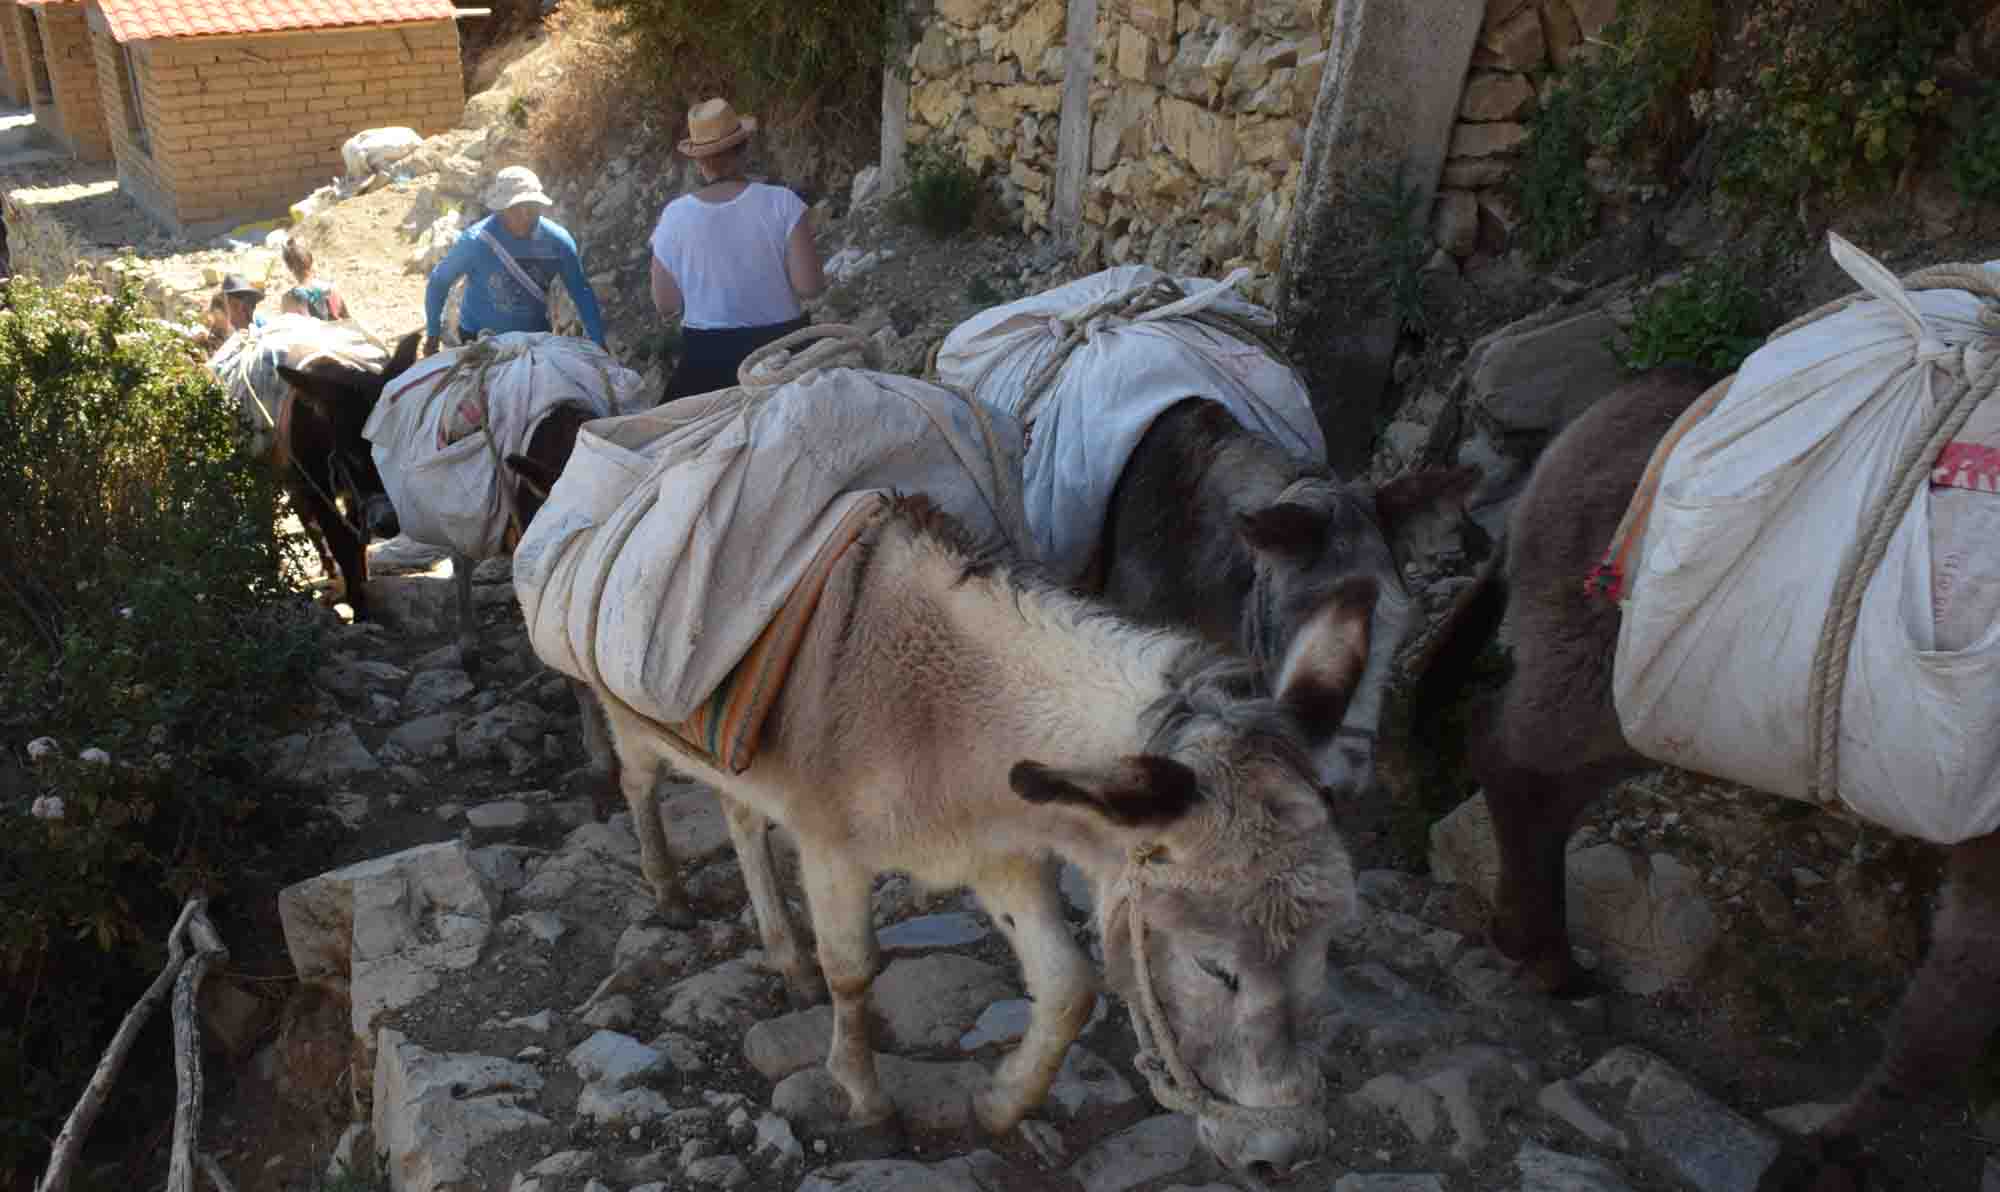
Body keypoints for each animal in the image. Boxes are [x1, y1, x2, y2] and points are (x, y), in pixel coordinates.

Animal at [564, 490, 1362, 1177]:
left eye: (1324, 949)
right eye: (1211, 967)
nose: (1284, 1156)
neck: (948, 713)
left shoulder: (1001, 854)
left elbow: (1068, 987)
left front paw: (1002, 1105)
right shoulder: (832, 847)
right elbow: (852, 969)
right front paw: (867, 1101)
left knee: (741, 818)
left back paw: (787, 959)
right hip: (632, 715)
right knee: (640, 785)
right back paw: (669, 893)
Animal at [1408, 366, 2000, 1189]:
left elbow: (1957, 1001)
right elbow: (1951, 1011)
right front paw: (1830, 1150)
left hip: (1651, 708)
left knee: (1543, 787)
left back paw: (1534, 943)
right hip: (1606, 671)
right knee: (1507, 754)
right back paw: (1542, 949)